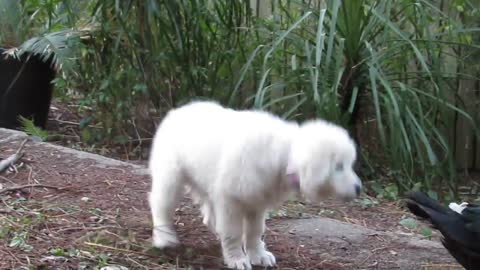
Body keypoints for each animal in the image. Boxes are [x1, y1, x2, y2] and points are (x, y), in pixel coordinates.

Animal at [148, 100, 362, 268]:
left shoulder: (256, 201)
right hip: (170, 176)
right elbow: (233, 232)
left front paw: (258, 255)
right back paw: (165, 238)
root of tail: (178, 110)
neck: (283, 157)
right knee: (161, 205)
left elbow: (254, 231)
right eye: (339, 166)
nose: (359, 188)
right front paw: (237, 259)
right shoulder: (231, 200)